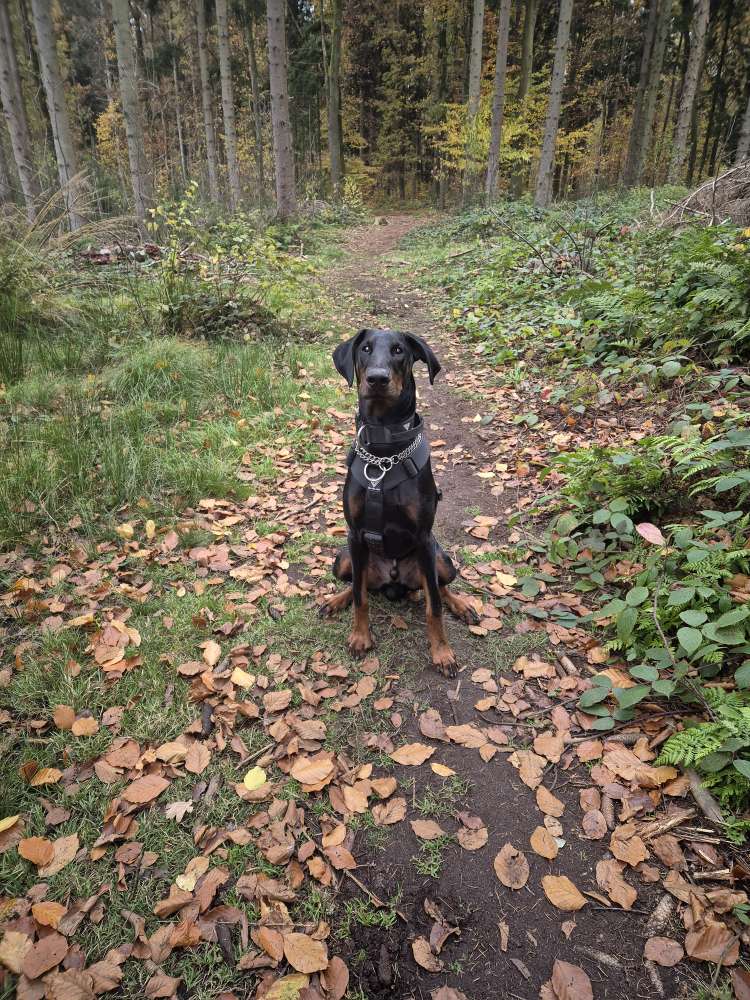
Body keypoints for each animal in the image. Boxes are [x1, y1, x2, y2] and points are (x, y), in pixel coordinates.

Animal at [322, 328, 476, 680]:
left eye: (398, 351)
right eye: (365, 349)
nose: (377, 379)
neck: (383, 450)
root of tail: (394, 583)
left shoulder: (423, 538)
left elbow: (434, 607)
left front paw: (442, 653)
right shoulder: (355, 536)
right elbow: (361, 597)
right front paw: (360, 636)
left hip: (441, 559)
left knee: (439, 587)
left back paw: (461, 605)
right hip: (343, 559)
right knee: (358, 584)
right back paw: (337, 599)